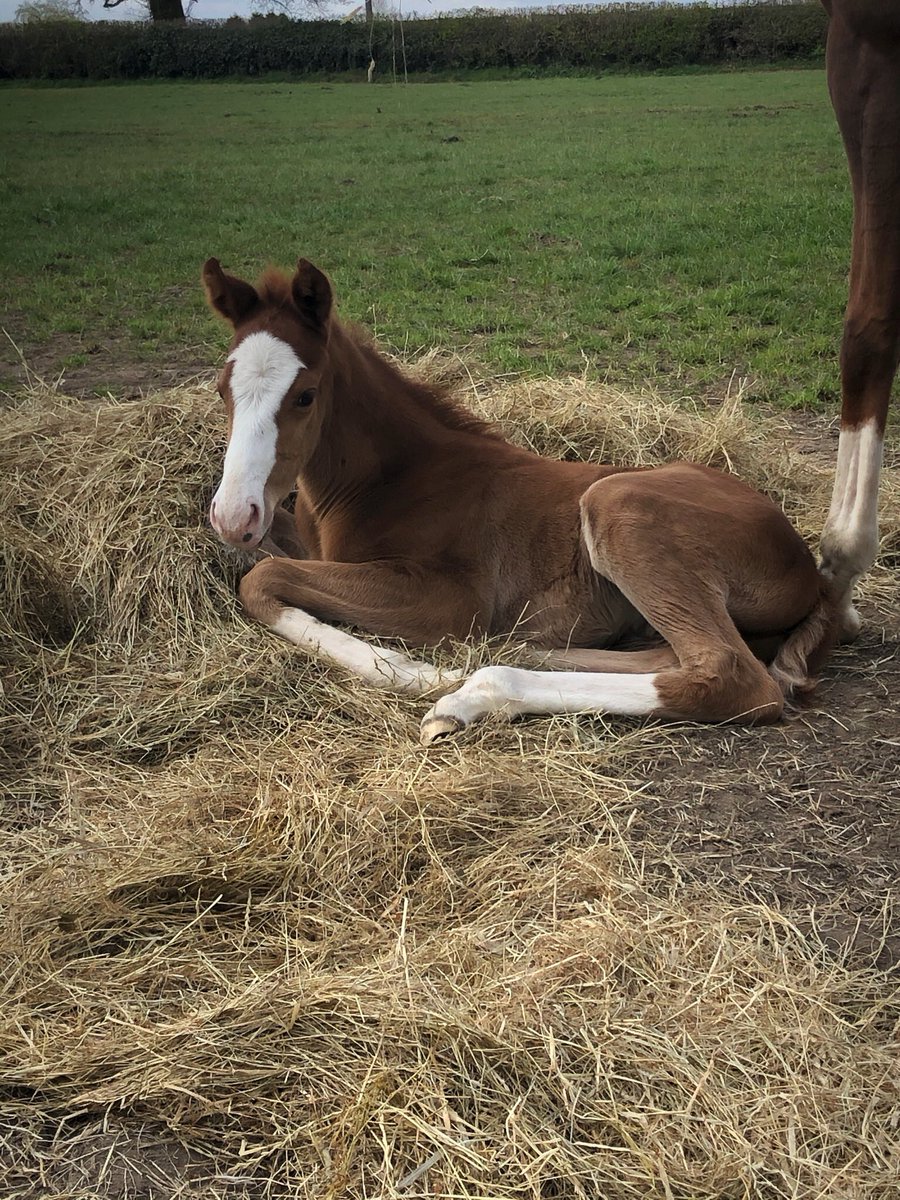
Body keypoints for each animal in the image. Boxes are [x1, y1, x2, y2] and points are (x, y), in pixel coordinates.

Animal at [202, 256, 838, 744]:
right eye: (221, 387)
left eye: (305, 395)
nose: (233, 517)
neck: (388, 480)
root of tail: (808, 569)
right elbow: (267, 558)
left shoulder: (446, 598)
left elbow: (262, 578)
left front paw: (411, 671)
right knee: (670, 656)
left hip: (617, 502)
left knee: (731, 674)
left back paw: (472, 694)